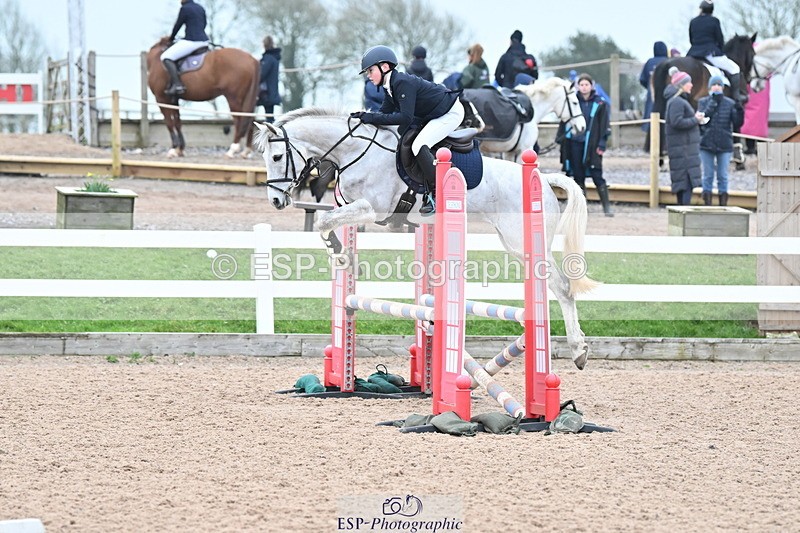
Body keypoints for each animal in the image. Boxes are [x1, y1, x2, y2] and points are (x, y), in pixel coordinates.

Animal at [254, 108, 598, 370]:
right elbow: (328, 222)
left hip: (522, 241)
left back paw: (578, 350)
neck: (354, 152)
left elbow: (323, 221)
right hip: (514, 243)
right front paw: (343, 256)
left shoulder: (372, 208)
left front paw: (341, 255)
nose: (276, 201)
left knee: (561, 287)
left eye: (276, 156)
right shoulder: (351, 206)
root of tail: (543, 178)